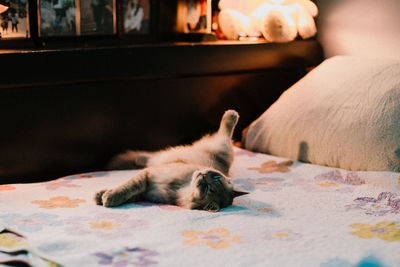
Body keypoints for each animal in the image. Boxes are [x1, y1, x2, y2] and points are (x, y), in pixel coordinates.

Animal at [95, 110, 248, 213]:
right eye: (215, 177)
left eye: (210, 189)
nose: (204, 176)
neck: (178, 188)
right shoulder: (148, 175)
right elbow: (126, 187)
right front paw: (102, 195)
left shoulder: (146, 190)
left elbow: (127, 192)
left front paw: (107, 197)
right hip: (216, 148)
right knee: (225, 132)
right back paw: (232, 114)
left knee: (225, 134)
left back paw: (232, 114)